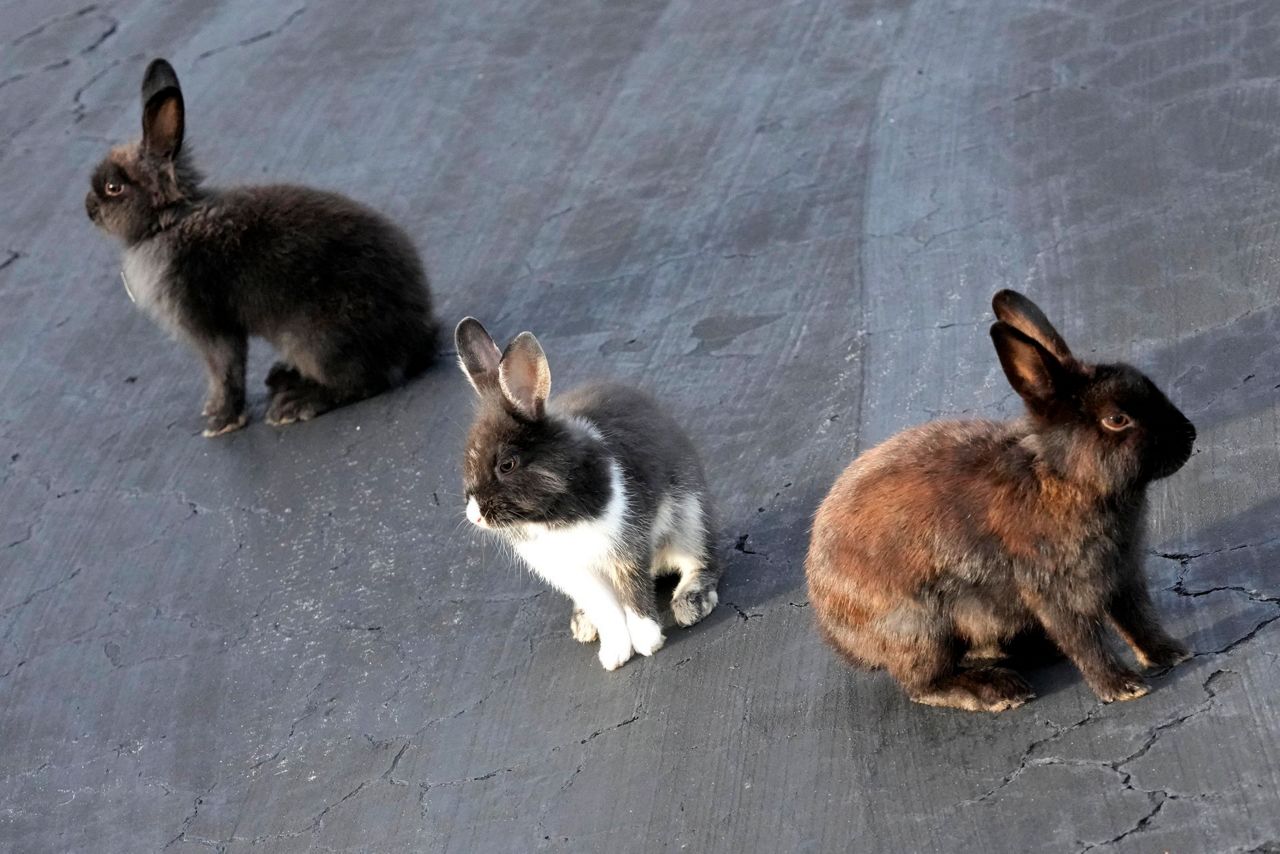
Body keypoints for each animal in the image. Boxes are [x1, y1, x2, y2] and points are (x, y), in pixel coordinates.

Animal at [84, 59, 437, 437]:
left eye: (113, 187)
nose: (88, 209)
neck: (168, 223)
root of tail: (417, 333)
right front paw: (213, 412)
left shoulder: (210, 327)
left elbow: (225, 369)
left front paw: (221, 422)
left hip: (315, 339)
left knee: (366, 380)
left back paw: (295, 404)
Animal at [454, 317, 720, 671]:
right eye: (466, 461)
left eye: (507, 464)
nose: (475, 516)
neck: (550, 516)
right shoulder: (577, 574)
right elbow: (608, 611)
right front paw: (615, 655)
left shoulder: (625, 548)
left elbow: (634, 597)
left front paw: (647, 642)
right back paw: (583, 624)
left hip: (691, 517)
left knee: (703, 560)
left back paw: (691, 603)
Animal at [806, 290, 1196, 712]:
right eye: (1117, 419)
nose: (1189, 435)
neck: (1062, 475)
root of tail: (836, 633)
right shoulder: (1056, 589)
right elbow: (1084, 640)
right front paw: (1122, 686)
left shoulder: (1124, 575)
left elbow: (1138, 619)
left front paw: (1171, 653)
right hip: (919, 627)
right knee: (924, 684)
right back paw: (999, 690)